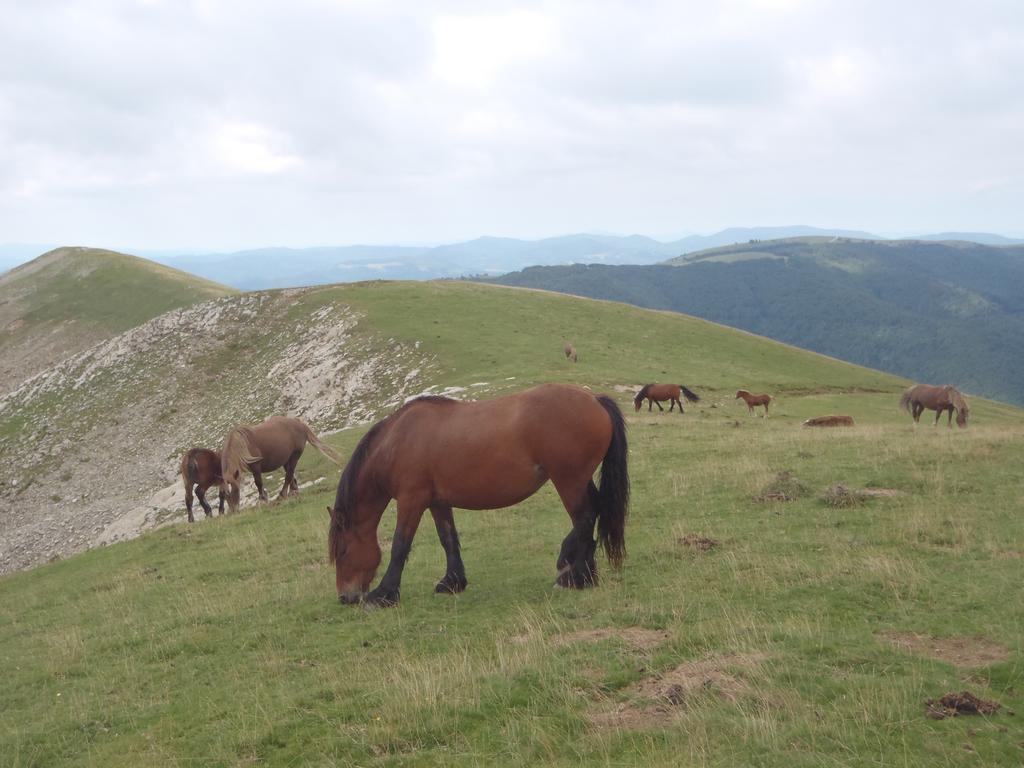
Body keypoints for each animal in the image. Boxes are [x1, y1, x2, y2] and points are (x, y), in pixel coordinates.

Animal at [327, 382, 630, 606]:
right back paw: (585, 573)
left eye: (342, 550)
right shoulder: (437, 502)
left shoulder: (411, 500)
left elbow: (401, 545)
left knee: (585, 518)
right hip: (579, 480)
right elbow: (448, 539)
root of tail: (594, 399)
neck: (398, 441)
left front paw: (384, 594)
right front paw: (452, 582)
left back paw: (574, 577)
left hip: (569, 481)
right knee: (594, 513)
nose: (345, 597)